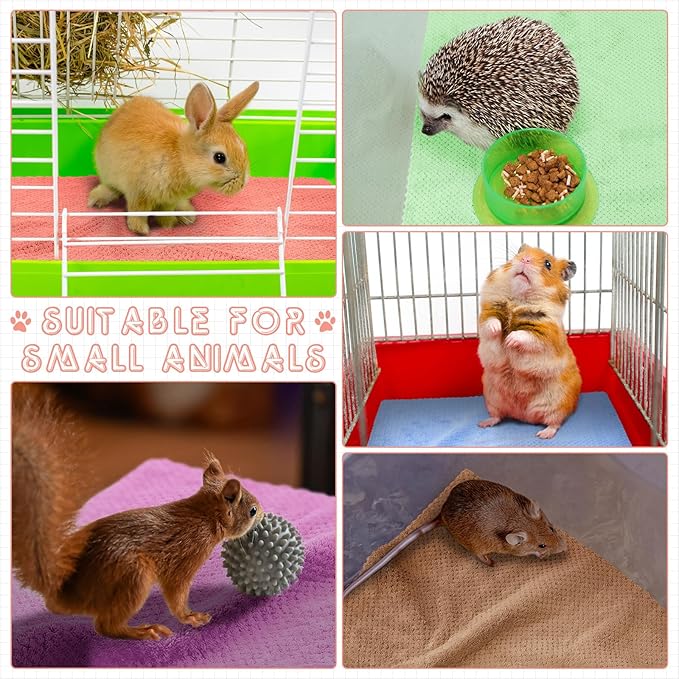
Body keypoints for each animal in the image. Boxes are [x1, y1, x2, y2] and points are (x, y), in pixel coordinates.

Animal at [88, 81, 259, 236]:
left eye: (244, 147)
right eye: (219, 157)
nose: (242, 184)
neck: (181, 158)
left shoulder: (168, 201)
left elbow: (166, 212)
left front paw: (168, 224)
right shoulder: (138, 193)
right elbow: (138, 212)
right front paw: (141, 230)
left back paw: (187, 214)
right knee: (111, 188)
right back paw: (95, 200)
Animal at [344, 479, 566, 597]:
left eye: (552, 528)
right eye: (542, 545)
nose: (565, 549)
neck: (517, 520)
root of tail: (441, 515)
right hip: (476, 547)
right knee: (481, 557)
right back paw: (491, 562)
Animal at [477, 244, 582, 439]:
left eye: (548, 264)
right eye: (519, 253)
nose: (525, 259)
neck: (519, 298)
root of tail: (523, 416)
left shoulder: (546, 333)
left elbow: (526, 336)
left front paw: (509, 340)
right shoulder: (488, 312)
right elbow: (490, 323)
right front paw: (499, 332)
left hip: (558, 403)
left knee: (555, 422)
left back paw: (543, 435)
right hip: (492, 398)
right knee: (497, 416)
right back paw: (483, 423)